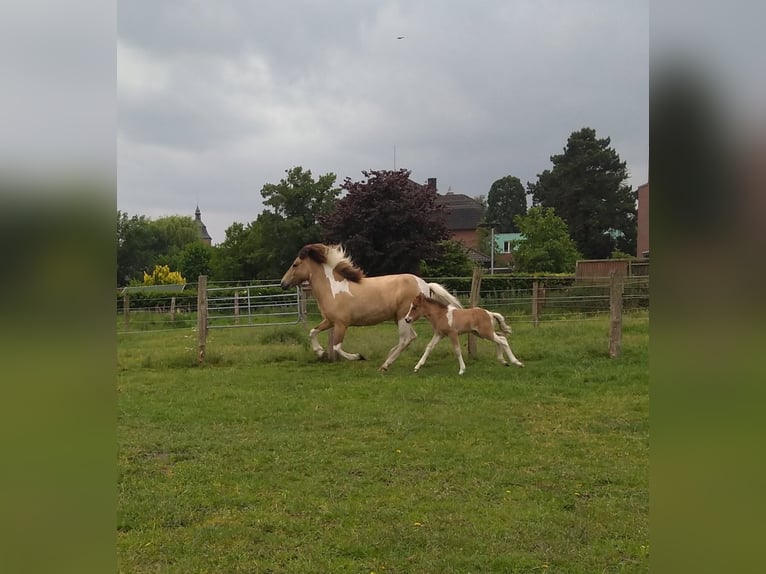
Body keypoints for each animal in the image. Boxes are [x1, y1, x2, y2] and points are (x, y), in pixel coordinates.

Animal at [280, 244, 464, 374]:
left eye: (295, 264)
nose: (283, 284)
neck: (332, 288)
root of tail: (425, 284)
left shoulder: (341, 324)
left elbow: (337, 347)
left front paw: (359, 357)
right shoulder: (329, 321)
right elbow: (313, 332)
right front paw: (320, 353)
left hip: (403, 317)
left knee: (406, 339)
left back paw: (385, 364)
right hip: (403, 318)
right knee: (409, 338)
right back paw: (387, 361)